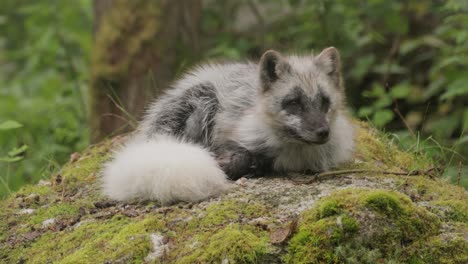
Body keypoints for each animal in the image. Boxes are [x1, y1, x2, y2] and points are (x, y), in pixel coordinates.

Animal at [103, 48, 354, 204]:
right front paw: (225, 164)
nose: (323, 132)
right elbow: (239, 157)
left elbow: (253, 161)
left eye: (325, 102)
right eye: (294, 103)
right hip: (203, 100)